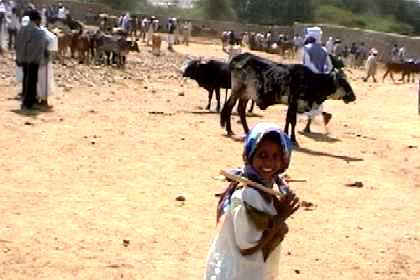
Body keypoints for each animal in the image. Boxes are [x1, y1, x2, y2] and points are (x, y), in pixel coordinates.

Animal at [220, 52, 354, 145]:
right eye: (343, 82)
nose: (353, 96)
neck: (311, 80)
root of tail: (239, 57)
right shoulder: (294, 102)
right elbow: (292, 121)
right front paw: (293, 139)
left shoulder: (292, 104)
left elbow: (288, 119)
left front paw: (286, 135)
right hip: (237, 90)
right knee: (230, 106)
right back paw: (229, 130)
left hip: (246, 94)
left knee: (240, 109)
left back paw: (246, 130)